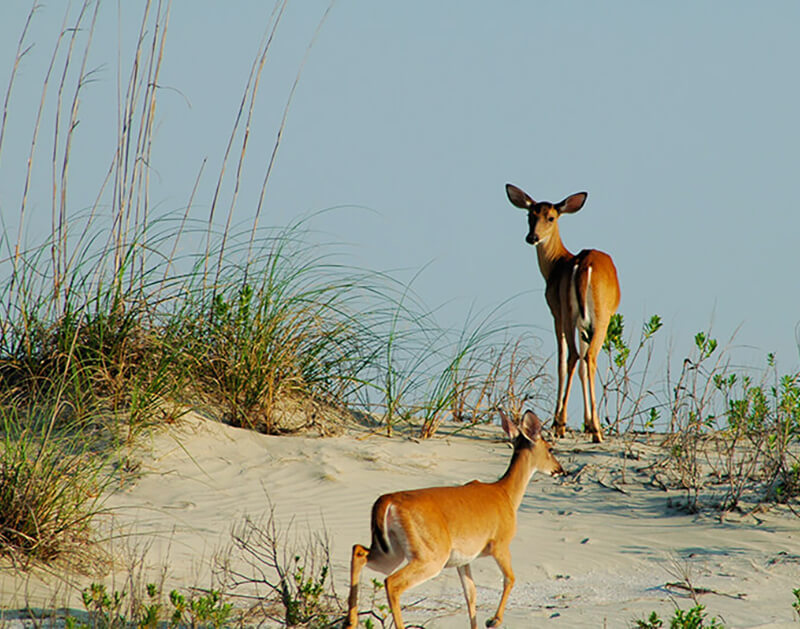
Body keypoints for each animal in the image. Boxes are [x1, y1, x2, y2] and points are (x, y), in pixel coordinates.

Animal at [344, 409, 564, 629]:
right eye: (550, 448)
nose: (560, 469)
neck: (505, 494)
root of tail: (388, 500)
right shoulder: (500, 544)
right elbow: (510, 579)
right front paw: (494, 620)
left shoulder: (463, 560)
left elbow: (471, 595)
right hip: (430, 555)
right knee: (392, 583)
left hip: (392, 550)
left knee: (359, 551)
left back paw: (350, 622)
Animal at [505, 184, 620, 444]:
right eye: (529, 215)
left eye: (551, 217)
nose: (532, 237)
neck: (556, 265)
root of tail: (584, 265)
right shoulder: (568, 317)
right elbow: (575, 364)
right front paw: (586, 423)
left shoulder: (561, 314)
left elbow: (566, 362)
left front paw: (580, 422)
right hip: (594, 316)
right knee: (584, 358)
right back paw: (585, 428)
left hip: (577, 315)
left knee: (577, 358)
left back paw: (571, 425)